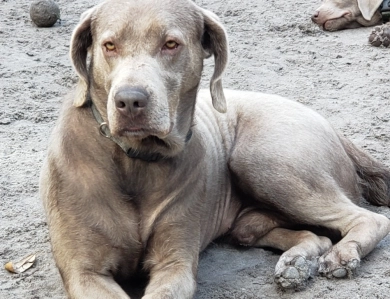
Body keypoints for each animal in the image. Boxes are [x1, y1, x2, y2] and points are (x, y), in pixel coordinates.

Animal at [39, 0, 390, 299]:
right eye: (109, 45)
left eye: (171, 44)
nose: (130, 100)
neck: (135, 160)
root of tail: (333, 128)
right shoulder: (84, 272)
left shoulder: (176, 264)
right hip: (249, 215)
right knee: (310, 235)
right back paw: (296, 265)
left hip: (264, 159)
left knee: (370, 219)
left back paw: (341, 255)